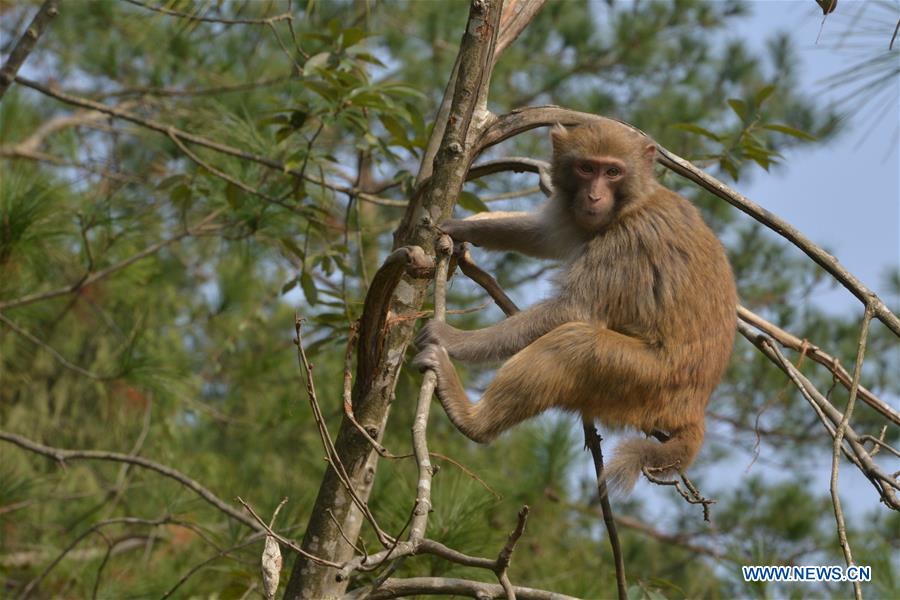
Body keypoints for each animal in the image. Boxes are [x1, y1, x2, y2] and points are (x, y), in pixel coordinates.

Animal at [412, 119, 736, 490]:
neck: (633, 203)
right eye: (586, 168)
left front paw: (451, 337)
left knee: (575, 345)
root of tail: (694, 409)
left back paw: (472, 420)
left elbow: (573, 310)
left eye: (612, 172)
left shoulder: (627, 241)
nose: (594, 196)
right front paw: (462, 227)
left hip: (647, 383)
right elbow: (543, 234)